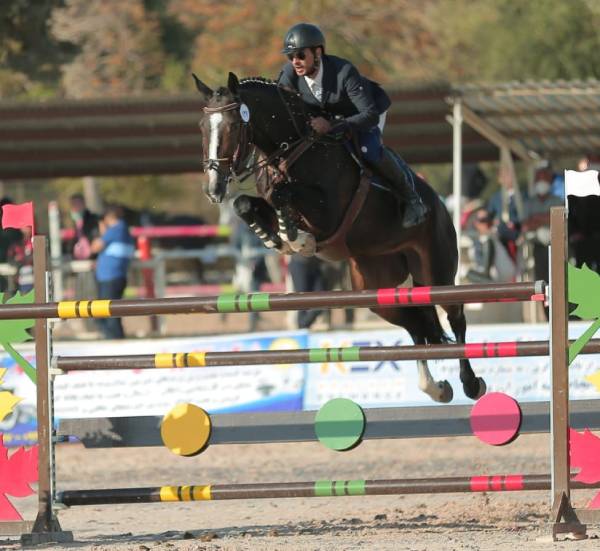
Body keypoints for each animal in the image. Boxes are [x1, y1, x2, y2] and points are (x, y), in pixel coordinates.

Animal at [195, 71, 486, 404]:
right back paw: (435, 388)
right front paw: (277, 238)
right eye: (202, 126)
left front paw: (297, 238)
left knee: (455, 317)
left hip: (435, 271)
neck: (293, 149)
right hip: (377, 289)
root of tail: (438, 203)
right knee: (417, 325)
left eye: (232, 126)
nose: (213, 188)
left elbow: (284, 193)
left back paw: (471, 384)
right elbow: (245, 203)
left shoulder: (329, 212)